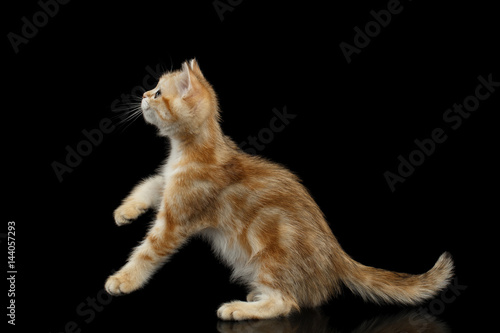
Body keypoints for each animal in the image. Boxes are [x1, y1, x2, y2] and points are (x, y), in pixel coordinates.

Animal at [104, 59, 454, 320]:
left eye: (159, 92)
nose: (143, 94)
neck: (188, 150)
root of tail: (336, 253)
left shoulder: (177, 217)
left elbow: (147, 251)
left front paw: (123, 279)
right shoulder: (168, 183)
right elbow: (148, 184)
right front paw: (125, 211)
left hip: (270, 248)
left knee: (288, 303)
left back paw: (239, 309)